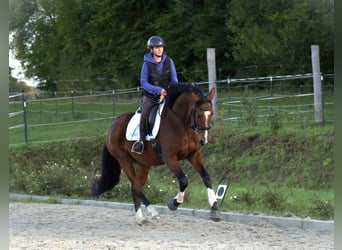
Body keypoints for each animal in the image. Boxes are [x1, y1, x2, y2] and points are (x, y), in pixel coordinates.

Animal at [91, 82, 220, 225]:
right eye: (199, 115)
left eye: (211, 114)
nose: (204, 140)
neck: (181, 124)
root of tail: (112, 126)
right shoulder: (169, 158)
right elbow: (183, 180)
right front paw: (174, 203)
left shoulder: (194, 155)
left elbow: (206, 177)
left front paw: (214, 209)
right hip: (124, 160)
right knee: (136, 187)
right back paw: (153, 213)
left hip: (143, 164)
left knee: (136, 187)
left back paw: (140, 218)